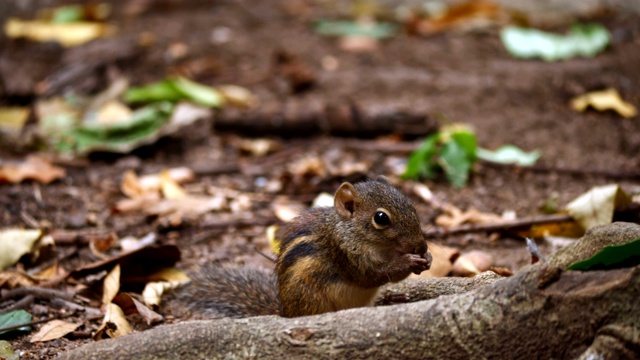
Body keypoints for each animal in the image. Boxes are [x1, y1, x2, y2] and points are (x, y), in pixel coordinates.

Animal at [168, 176, 432, 320]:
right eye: (381, 218)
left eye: (411, 205)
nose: (421, 245)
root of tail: (287, 312)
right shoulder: (345, 256)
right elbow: (373, 275)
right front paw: (409, 261)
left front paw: (426, 258)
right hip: (309, 297)